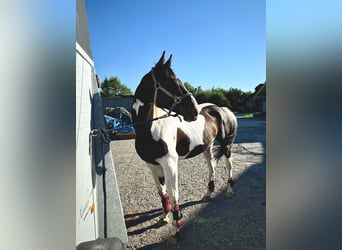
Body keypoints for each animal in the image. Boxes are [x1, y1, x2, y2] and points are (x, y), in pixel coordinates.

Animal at [132, 51, 238, 234]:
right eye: (171, 82)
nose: (194, 111)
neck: (150, 128)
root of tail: (221, 109)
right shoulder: (152, 165)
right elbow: (162, 192)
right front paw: (165, 217)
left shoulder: (170, 164)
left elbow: (174, 194)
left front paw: (177, 224)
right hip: (207, 148)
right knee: (211, 167)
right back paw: (208, 193)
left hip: (227, 146)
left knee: (228, 166)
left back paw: (229, 191)